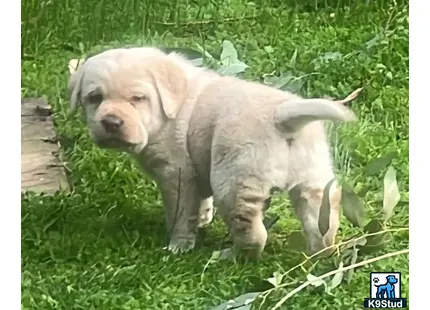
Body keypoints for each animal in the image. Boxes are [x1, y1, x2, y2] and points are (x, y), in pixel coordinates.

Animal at [69, 47, 360, 258]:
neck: (171, 107)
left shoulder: (176, 173)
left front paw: (178, 244)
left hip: (232, 182)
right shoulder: (196, 168)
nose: (111, 122)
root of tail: (282, 116)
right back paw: (319, 257)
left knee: (252, 233)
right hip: (313, 179)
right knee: (321, 221)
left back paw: (232, 256)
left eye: (137, 99)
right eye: (94, 98)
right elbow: (199, 201)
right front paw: (202, 220)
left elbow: (180, 212)